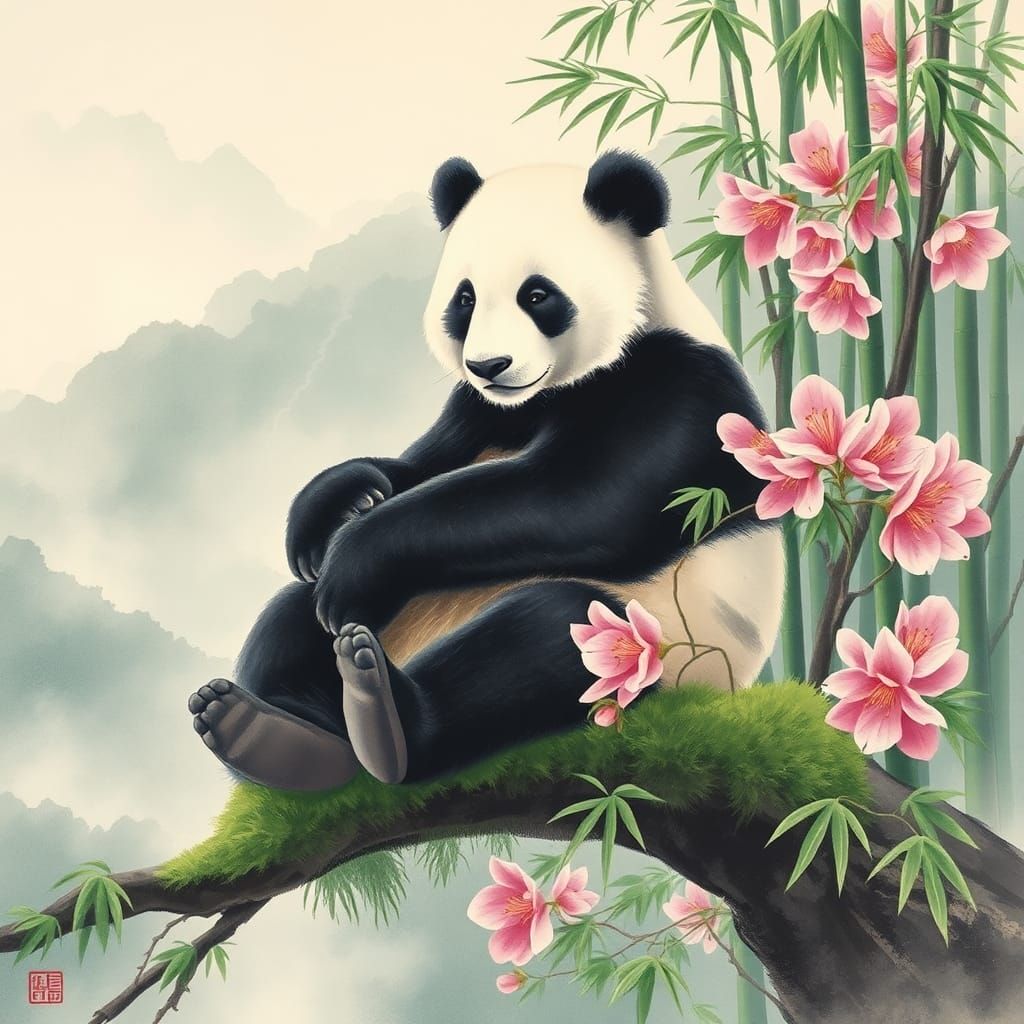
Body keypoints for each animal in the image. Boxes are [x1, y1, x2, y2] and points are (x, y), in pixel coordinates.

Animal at [187, 151, 785, 792]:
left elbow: (583, 503)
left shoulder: (682, 390)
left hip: (666, 642)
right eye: (465, 299)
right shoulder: (481, 412)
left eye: (538, 295)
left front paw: (357, 552)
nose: (489, 365)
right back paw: (273, 731)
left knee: (544, 641)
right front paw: (333, 502)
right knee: (292, 618)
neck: (556, 390)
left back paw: (386, 720)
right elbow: (418, 466)